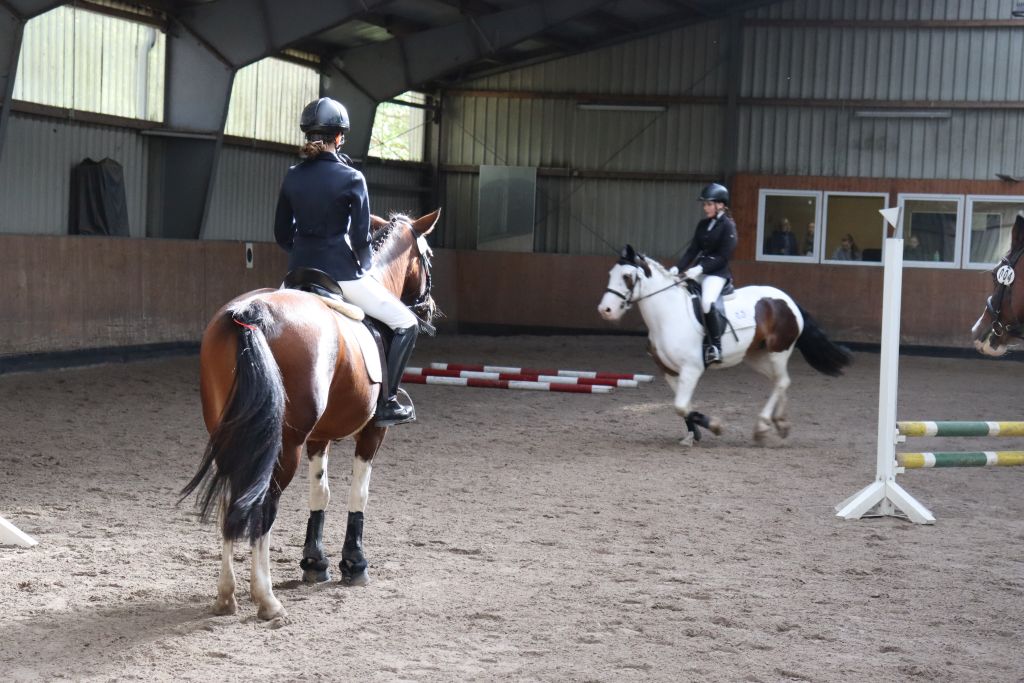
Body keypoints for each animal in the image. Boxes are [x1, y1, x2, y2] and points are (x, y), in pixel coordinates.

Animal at [180, 209, 440, 621]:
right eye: (428, 256)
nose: (428, 308)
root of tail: (250, 313)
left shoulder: (319, 436)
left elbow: (321, 492)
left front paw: (315, 563)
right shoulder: (373, 432)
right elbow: (358, 492)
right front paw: (354, 564)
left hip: (235, 434)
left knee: (231, 500)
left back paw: (226, 596)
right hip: (284, 446)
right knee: (263, 505)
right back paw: (267, 599)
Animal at [597, 245, 851, 445]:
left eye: (627, 276)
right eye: (610, 274)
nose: (605, 310)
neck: (667, 315)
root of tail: (788, 300)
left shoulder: (691, 369)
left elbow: (681, 405)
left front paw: (715, 426)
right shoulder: (669, 371)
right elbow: (682, 406)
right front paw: (692, 435)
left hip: (778, 352)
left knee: (782, 382)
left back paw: (763, 427)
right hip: (755, 356)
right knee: (780, 382)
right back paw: (780, 423)